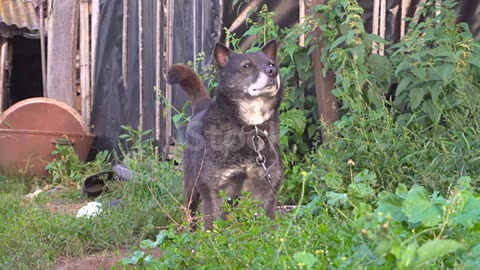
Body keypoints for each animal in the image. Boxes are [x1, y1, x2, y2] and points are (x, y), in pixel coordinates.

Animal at [167, 40, 284, 230]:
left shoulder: (265, 189)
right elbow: (212, 228)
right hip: (191, 189)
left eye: (272, 64)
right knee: (191, 215)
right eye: (247, 66)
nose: (272, 72)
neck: (249, 127)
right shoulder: (212, 191)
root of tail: (202, 106)